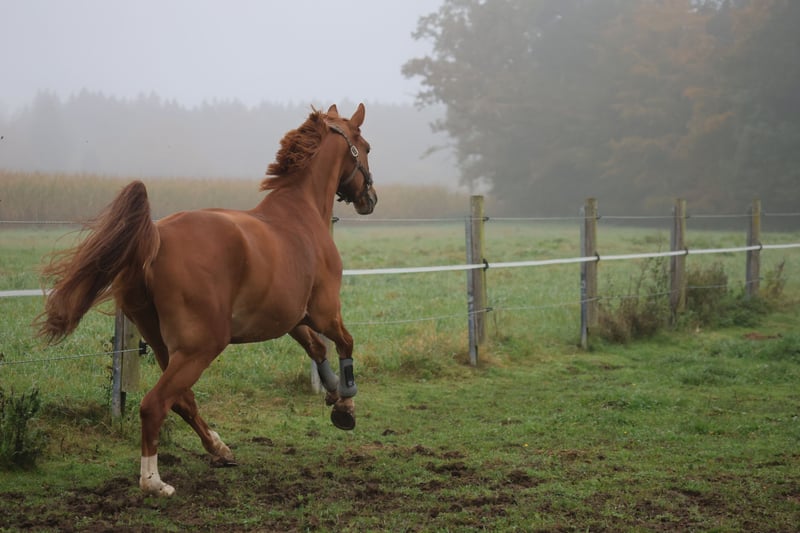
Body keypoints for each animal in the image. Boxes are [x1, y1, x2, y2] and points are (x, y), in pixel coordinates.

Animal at [35, 103, 377, 496]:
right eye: (366, 147)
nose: (370, 199)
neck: (300, 215)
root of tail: (154, 239)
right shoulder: (323, 312)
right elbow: (345, 343)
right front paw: (346, 404)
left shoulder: (291, 319)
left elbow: (318, 349)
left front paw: (332, 392)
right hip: (202, 346)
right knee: (155, 404)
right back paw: (154, 482)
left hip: (166, 345)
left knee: (181, 400)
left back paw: (219, 449)